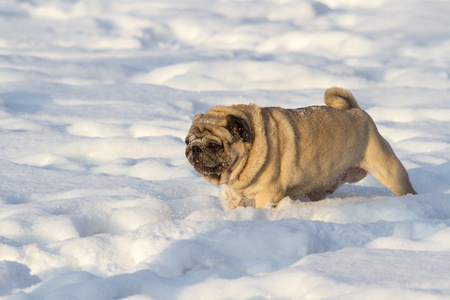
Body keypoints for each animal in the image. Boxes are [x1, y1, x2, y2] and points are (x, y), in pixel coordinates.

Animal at [185, 86, 416, 209]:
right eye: (187, 142)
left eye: (214, 145)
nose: (195, 149)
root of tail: (355, 110)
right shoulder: (234, 197)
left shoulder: (267, 195)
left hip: (390, 171)